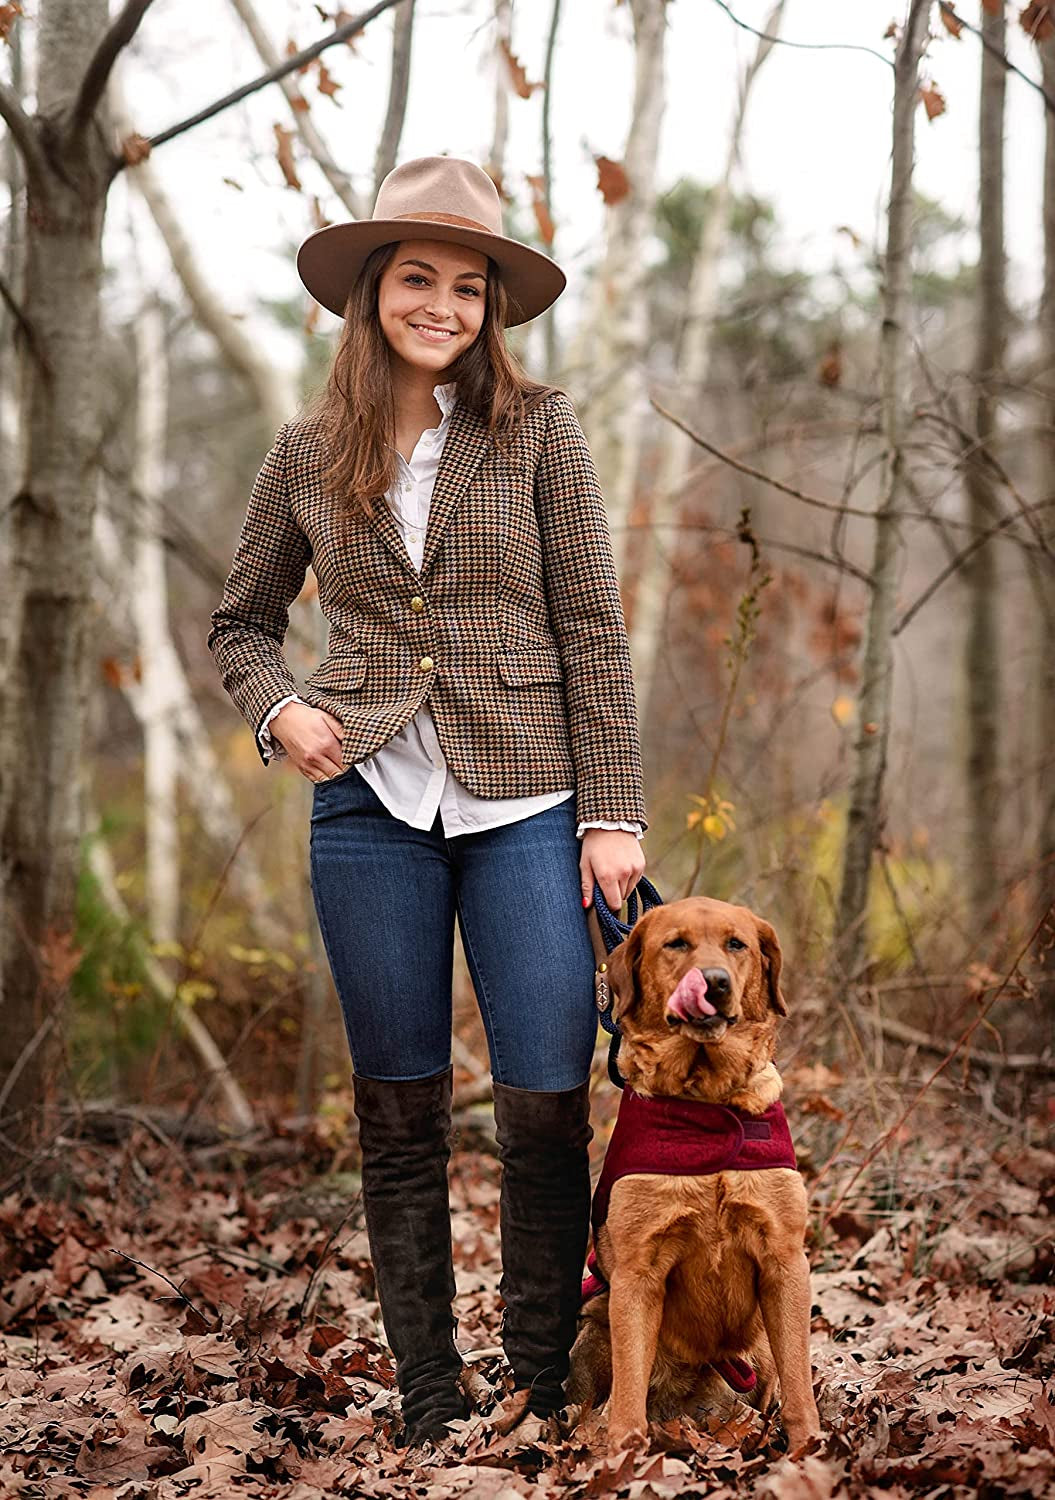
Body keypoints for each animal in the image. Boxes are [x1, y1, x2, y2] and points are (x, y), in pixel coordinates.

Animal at [570, 888, 828, 1452]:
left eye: (737, 944)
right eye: (676, 944)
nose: (714, 982)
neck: (707, 1101)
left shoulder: (785, 1262)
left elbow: (800, 1385)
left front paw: (808, 1450)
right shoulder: (637, 1272)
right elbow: (626, 1396)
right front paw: (623, 1455)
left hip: (758, 1352)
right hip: (595, 1320)